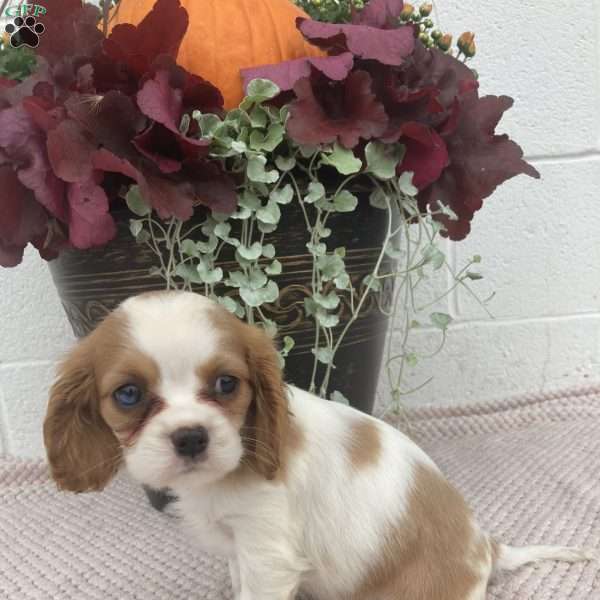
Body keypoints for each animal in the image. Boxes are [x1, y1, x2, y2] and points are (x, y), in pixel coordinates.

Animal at [43, 290, 596, 596]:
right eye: (129, 394)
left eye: (226, 384)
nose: (191, 436)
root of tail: (487, 548)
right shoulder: (242, 550)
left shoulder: (268, 551)